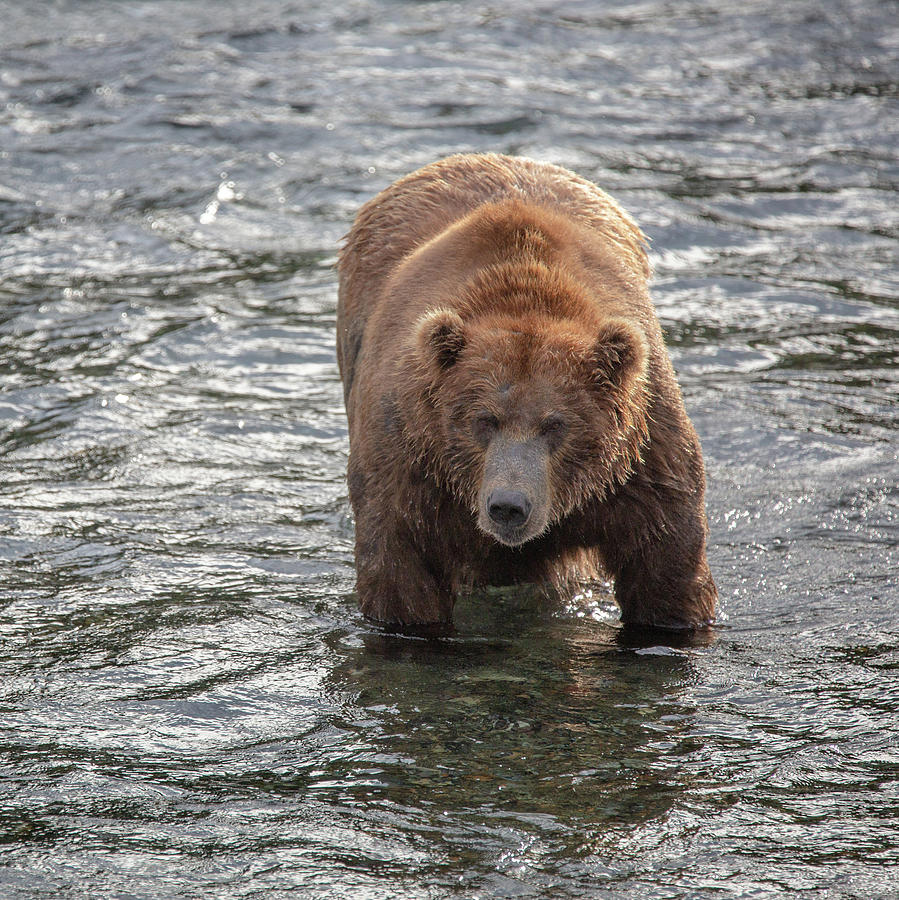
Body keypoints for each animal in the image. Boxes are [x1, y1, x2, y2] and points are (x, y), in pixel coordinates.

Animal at [336, 153, 716, 632]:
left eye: (555, 424)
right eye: (483, 420)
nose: (509, 505)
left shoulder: (641, 458)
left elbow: (667, 564)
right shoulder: (410, 461)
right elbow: (401, 576)